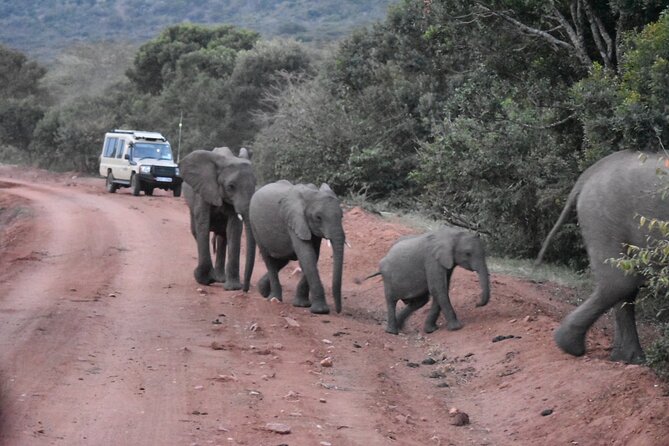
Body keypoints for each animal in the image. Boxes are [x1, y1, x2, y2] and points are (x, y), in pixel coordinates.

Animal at [180, 148, 256, 290]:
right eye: (231, 186)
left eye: (256, 184)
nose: (245, 288)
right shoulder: (203, 190)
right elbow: (203, 224)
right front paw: (205, 279)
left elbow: (234, 228)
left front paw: (232, 288)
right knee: (196, 232)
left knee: (222, 237)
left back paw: (220, 279)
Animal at [249, 180, 344, 314]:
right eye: (318, 217)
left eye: (342, 216)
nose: (338, 310)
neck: (311, 194)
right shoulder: (294, 221)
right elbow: (307, 255)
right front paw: (320, 311)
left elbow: (313, 256)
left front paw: (301, 305)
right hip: (254, 225)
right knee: (269, 260)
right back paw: (274, 298)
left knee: (282, 260)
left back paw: (262, 291)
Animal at [536, 149, 668, 362]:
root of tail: (587, 175)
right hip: (604, 216)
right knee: (621, 282)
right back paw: (571, 347)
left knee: (625, 284)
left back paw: (626, 358)